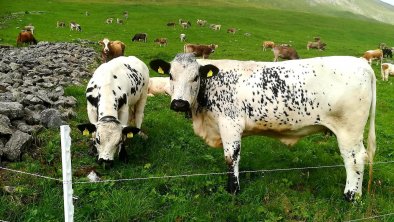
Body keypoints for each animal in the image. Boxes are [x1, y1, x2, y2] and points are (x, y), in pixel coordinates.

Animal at [149, 53, 378, 201]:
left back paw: (351, 196)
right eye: (170, 76)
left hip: (349, 131)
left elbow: (231, 158)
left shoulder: (230, 124)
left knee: (355, 160)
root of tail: (362, 64)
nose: (179, 103)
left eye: (195, 77)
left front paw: (233, 190)